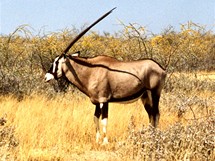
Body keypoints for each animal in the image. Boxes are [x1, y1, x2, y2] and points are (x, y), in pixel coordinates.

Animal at [43, 7, 165, 144]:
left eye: (57, 62)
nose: (46, 77)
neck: (90, 71)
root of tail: (161, 68)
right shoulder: (96, 102)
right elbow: (95, 119)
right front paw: (97, 140)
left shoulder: (104, 100)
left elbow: (104, 120)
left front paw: (105, 142)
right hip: (145, 96)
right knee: (151, 114)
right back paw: (150, 135)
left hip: (155, 92)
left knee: (156, 114)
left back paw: (154, 136)